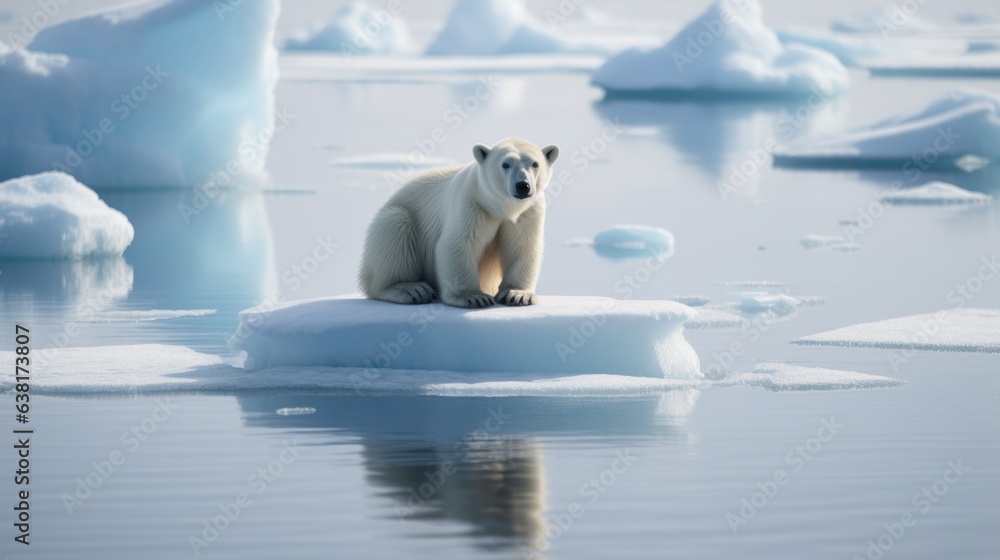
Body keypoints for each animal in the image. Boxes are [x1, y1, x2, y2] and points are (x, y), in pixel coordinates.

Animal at [360, 137, 560, 308]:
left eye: (534, 164)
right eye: (505, 164)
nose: (522, 185)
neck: (499, 207)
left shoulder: (528, 212)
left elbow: (522, 245)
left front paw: (517, 295)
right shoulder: (471, 203)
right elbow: (458, 243)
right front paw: (473, 297)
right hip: (396, 217)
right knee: (396, 226)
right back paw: (411, 289)